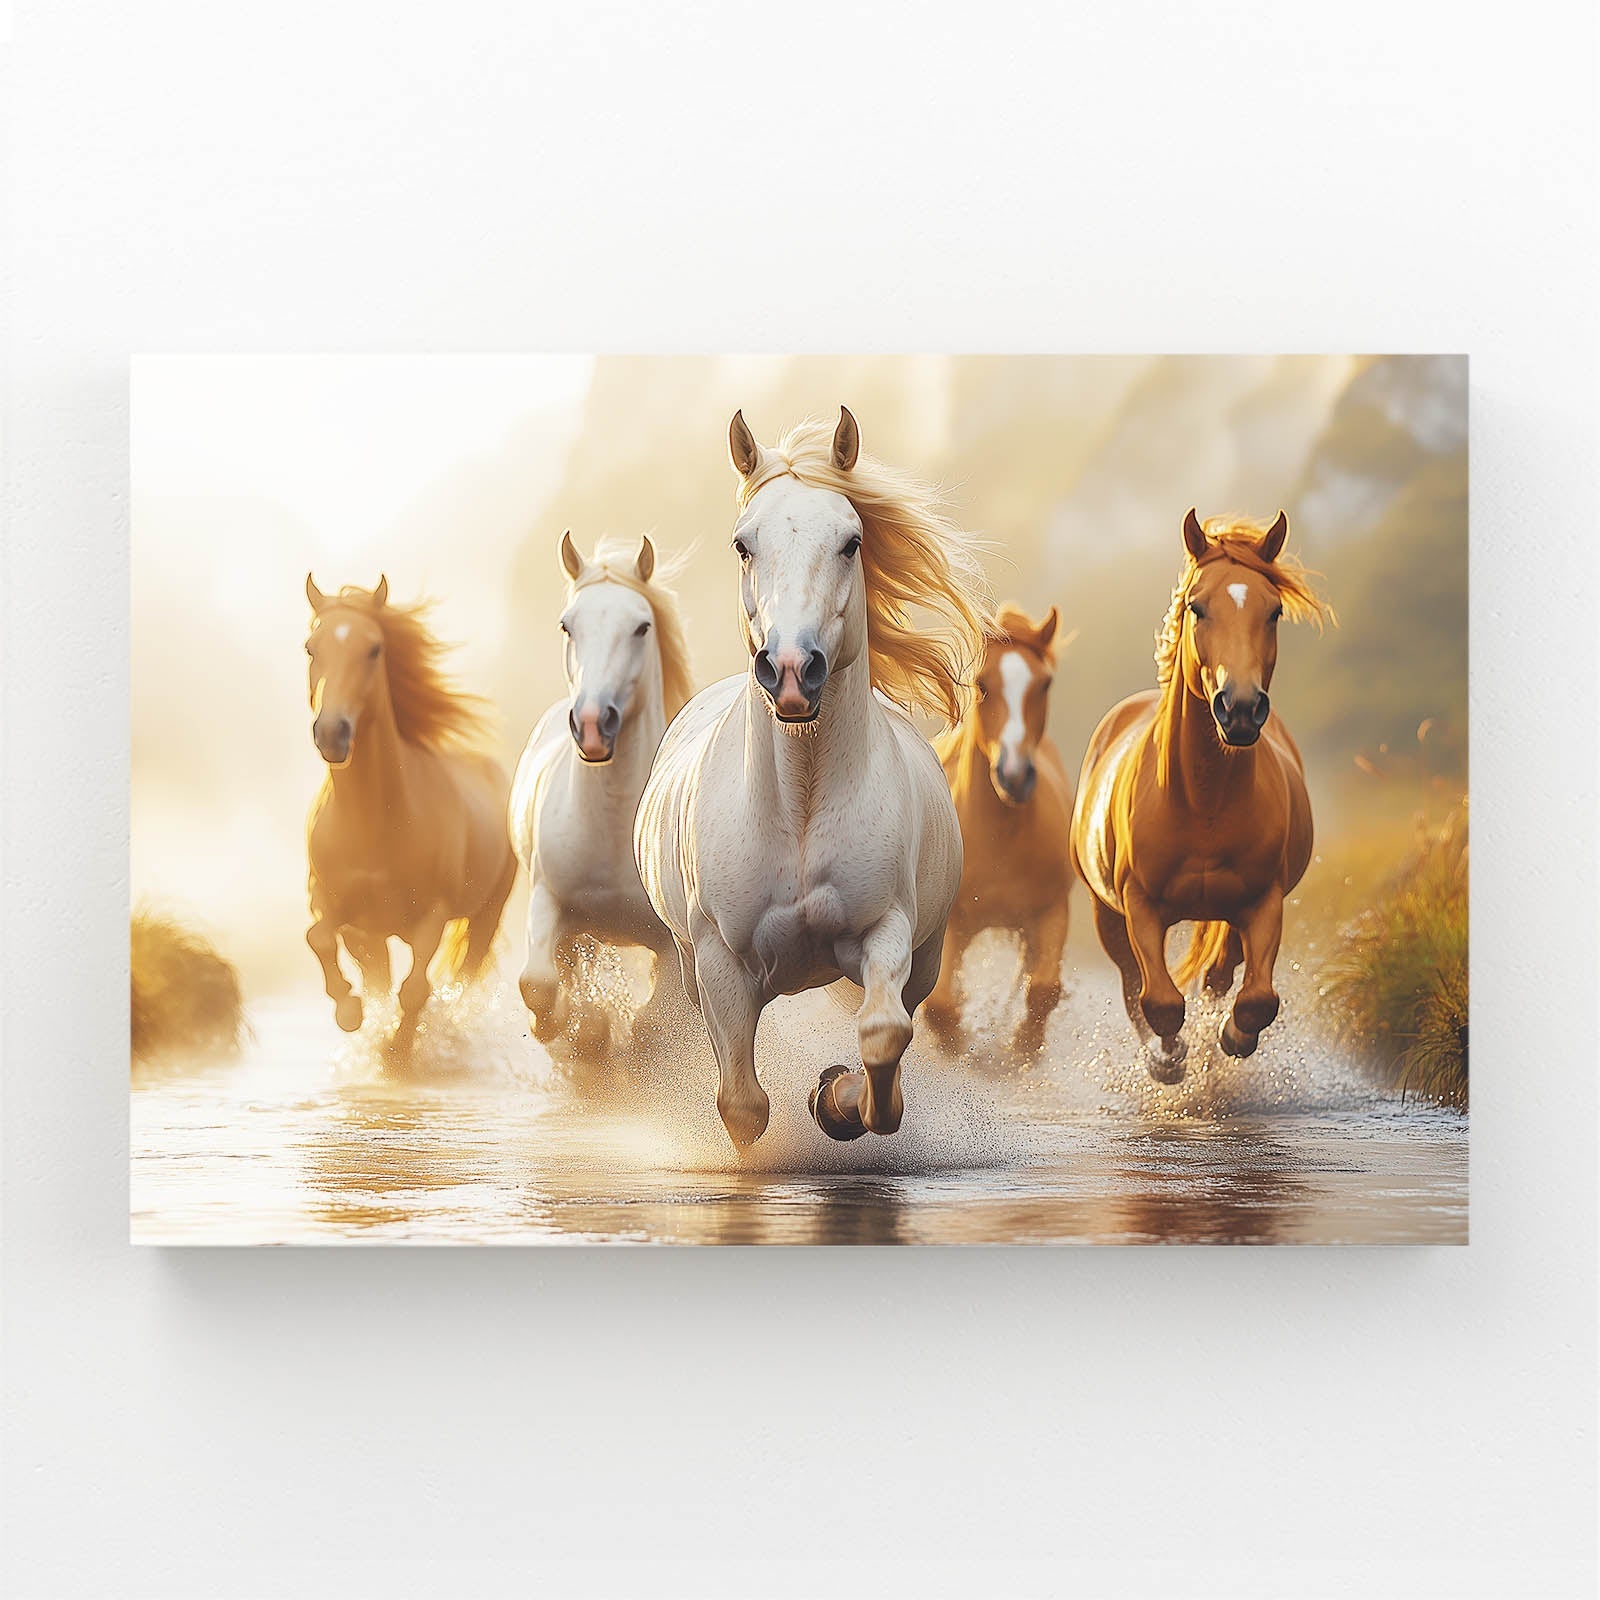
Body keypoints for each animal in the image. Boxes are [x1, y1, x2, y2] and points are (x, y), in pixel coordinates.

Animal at [303, 575, 516, 1058]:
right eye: (310, 648)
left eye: (374, 649)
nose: (332, 733)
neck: (373, 823)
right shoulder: (333, 905)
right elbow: (319, 938)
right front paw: (350, 1012)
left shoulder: (432, 916)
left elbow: (416, 991)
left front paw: (396, 1053)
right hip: (371, 934)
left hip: (486, 915)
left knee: (464, 976)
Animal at [508, 531, 694, 1065]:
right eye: (567, 625)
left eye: (641, 627)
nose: (592, 723)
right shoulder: (547, 900)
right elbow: (538, 984)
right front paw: (578, 1032)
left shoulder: (673, 945)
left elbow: (656, 1025)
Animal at [634, 406, 990, 1149]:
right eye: (743, 544)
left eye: (852, 541)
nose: (793, 671)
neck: (798, 810)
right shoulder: (719, 963)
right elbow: (743, 1105)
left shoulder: (886, 930)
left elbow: (883, 1034)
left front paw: (835, 1098)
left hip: (928, 955)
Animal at [924, 603, 1075, 1056]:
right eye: (982, 684)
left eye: (1044, 683)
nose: (1015, 775)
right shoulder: (950, 926)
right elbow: (939, 1006)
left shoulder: (1052, 911)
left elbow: (1043, 991)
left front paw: (1023, 1048)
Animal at [1069, 511, 1328, 1080]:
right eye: (1197, 607)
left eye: (1274, 611)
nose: (1241, 708)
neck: (1201, 800)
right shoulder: (1138, 905)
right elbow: (1159, 1001)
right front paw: (1168, 1060)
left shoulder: (1264, 900)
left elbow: (1256, 999)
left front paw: (1231, 1037)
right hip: (1106, 915)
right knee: (1132, 983)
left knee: (1220, 974)